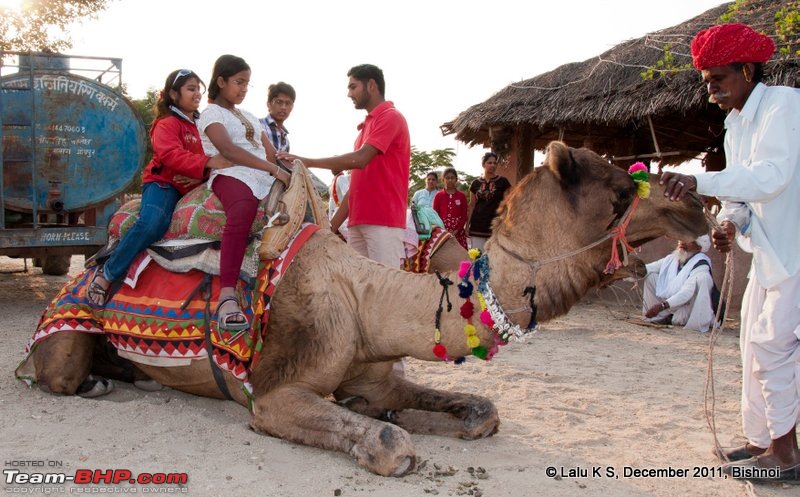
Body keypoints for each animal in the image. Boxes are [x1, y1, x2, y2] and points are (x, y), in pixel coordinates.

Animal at [18, 141, 708, 474]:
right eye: (622, 188)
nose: (695, 205)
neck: (367, 299)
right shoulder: (275, 393)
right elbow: (389, 443)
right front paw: (386, 429)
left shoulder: (381, 371)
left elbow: (477, 411)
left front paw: (400, 410)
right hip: (67, 327)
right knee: (57, 373)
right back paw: (96, 379)